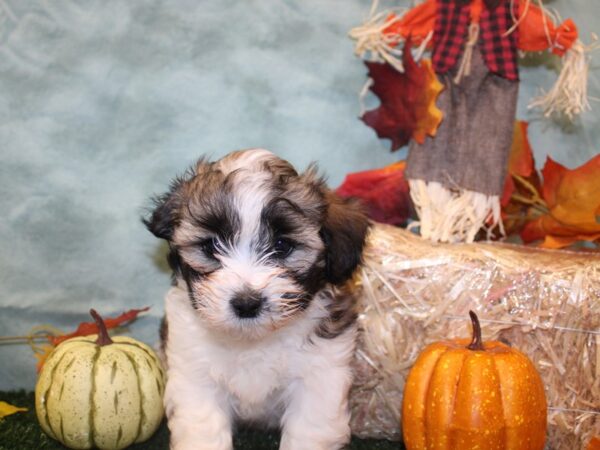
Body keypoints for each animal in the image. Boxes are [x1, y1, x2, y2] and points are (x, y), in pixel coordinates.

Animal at [145, 150, 370, 450]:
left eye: (282, 246)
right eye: (211, 246)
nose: (246, 303)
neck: (253, 340)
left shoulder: (320, 373)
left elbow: (309, 429)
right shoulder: (195, 371)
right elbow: (204, 426)